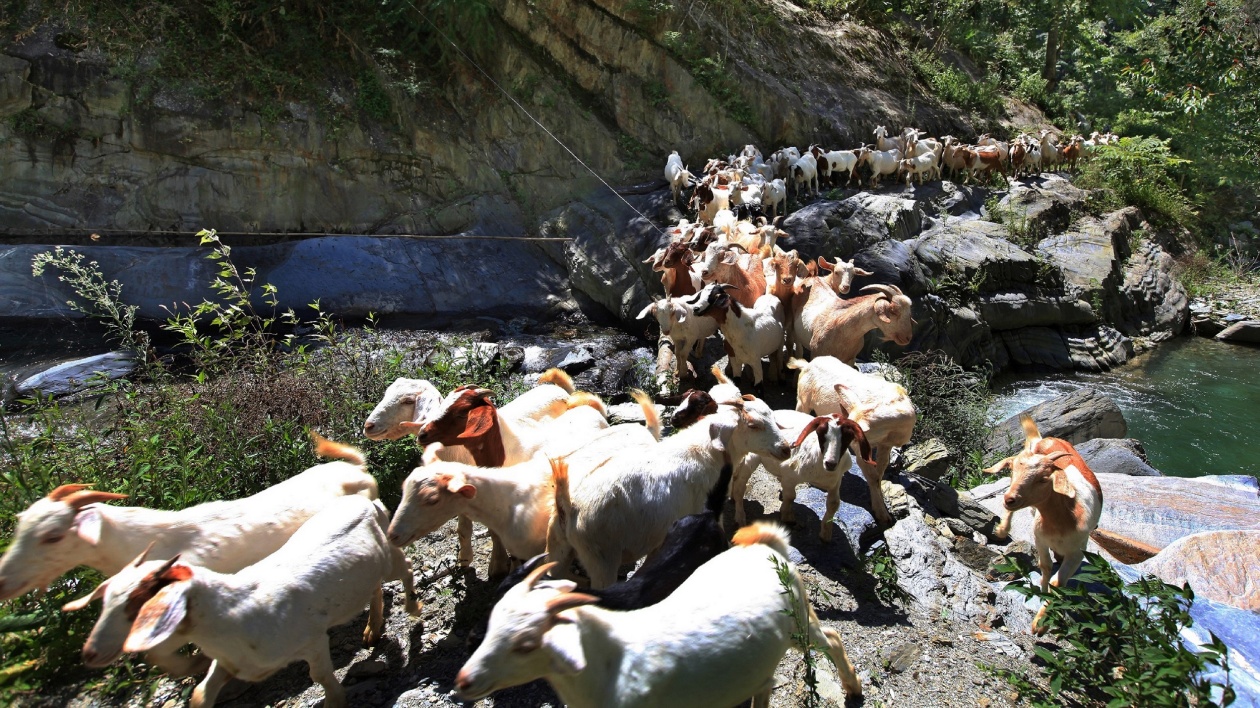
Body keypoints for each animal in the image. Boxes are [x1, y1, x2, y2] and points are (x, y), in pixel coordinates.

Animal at [982, 410, 1103, 629]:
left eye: (1043, 479)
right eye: (1012, 471)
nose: (1010, 499)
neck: (1063, 520)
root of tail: (1042, 439)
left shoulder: (1078, 551)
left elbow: (1058, 582)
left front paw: (1042, 622)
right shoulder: (1040, 538)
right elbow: (1045, 568)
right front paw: (1044, 600)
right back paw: (1002, 529)